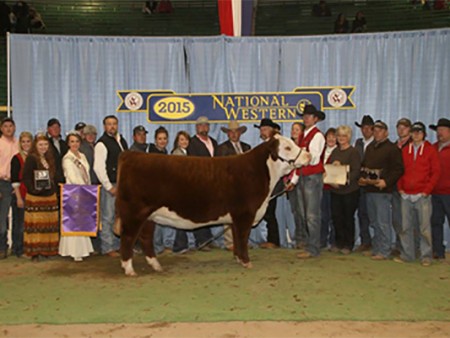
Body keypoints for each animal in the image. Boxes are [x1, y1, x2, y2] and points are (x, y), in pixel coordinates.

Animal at [116, 133, 310, 276]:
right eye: (287, 147)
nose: (308, 155)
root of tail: (130, 155)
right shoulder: (244, 214)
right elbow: (243, 238)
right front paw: (247, 262)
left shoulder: (235, 218)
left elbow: (237, 239)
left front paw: (238, 259)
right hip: (134, 212)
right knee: (128, 238)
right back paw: (129, 269)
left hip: (150, 215)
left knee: (145, 238)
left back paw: (155, 265)